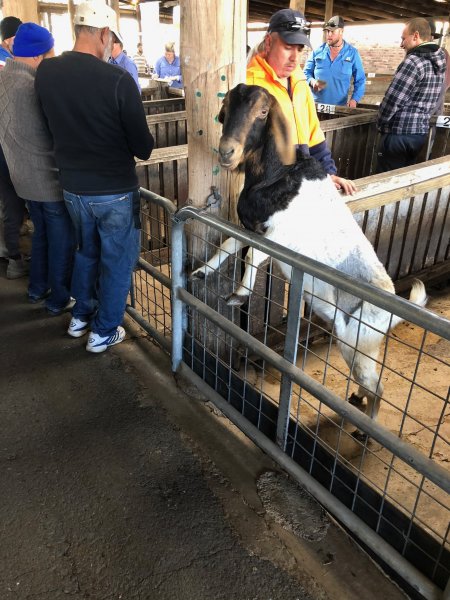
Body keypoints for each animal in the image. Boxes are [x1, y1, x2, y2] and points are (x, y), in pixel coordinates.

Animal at [190, 83, 426, 436]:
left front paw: (238, 295)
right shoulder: (253, 228)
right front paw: (201, 272)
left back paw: (364, 429)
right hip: (363, 348)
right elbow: (230, 244)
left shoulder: (278, 237)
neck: (279, 177)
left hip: (359, 343)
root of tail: (395, 309)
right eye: (226, 108)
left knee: (378, 386)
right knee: (369, 382)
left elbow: (253, 254)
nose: (227, 152)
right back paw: (356, 400)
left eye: (263, 111)